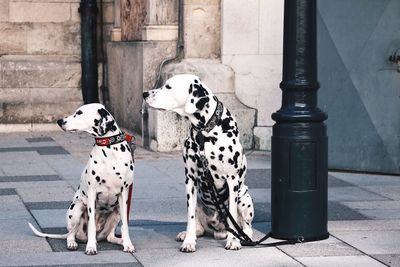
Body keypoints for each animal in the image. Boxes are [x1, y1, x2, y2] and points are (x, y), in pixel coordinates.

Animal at [28, 103, 135, 256]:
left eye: (79, 113)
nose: (60, 121)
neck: (110, 150)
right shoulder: (92, 192)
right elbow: (91, 226)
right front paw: (91, 247)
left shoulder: (124, 193)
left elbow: (125, 225)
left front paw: (128, 244)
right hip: (77, 208)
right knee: (71, 234)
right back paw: (73, 243)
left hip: (117, 212)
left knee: (110, 237)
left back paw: (119, 241)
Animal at [143, 74, 253, 252]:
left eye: (168, 86)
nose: (144, 94)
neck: (206, 132)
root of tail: (219, 231)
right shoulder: (190, 180)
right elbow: (191, 217)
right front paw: (189, 241)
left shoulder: (232, 181)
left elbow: (232, 216)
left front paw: (233, 241)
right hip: (199, 200)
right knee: (198, 224)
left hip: (244, 198)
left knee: (245, 226)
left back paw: (242, 237)